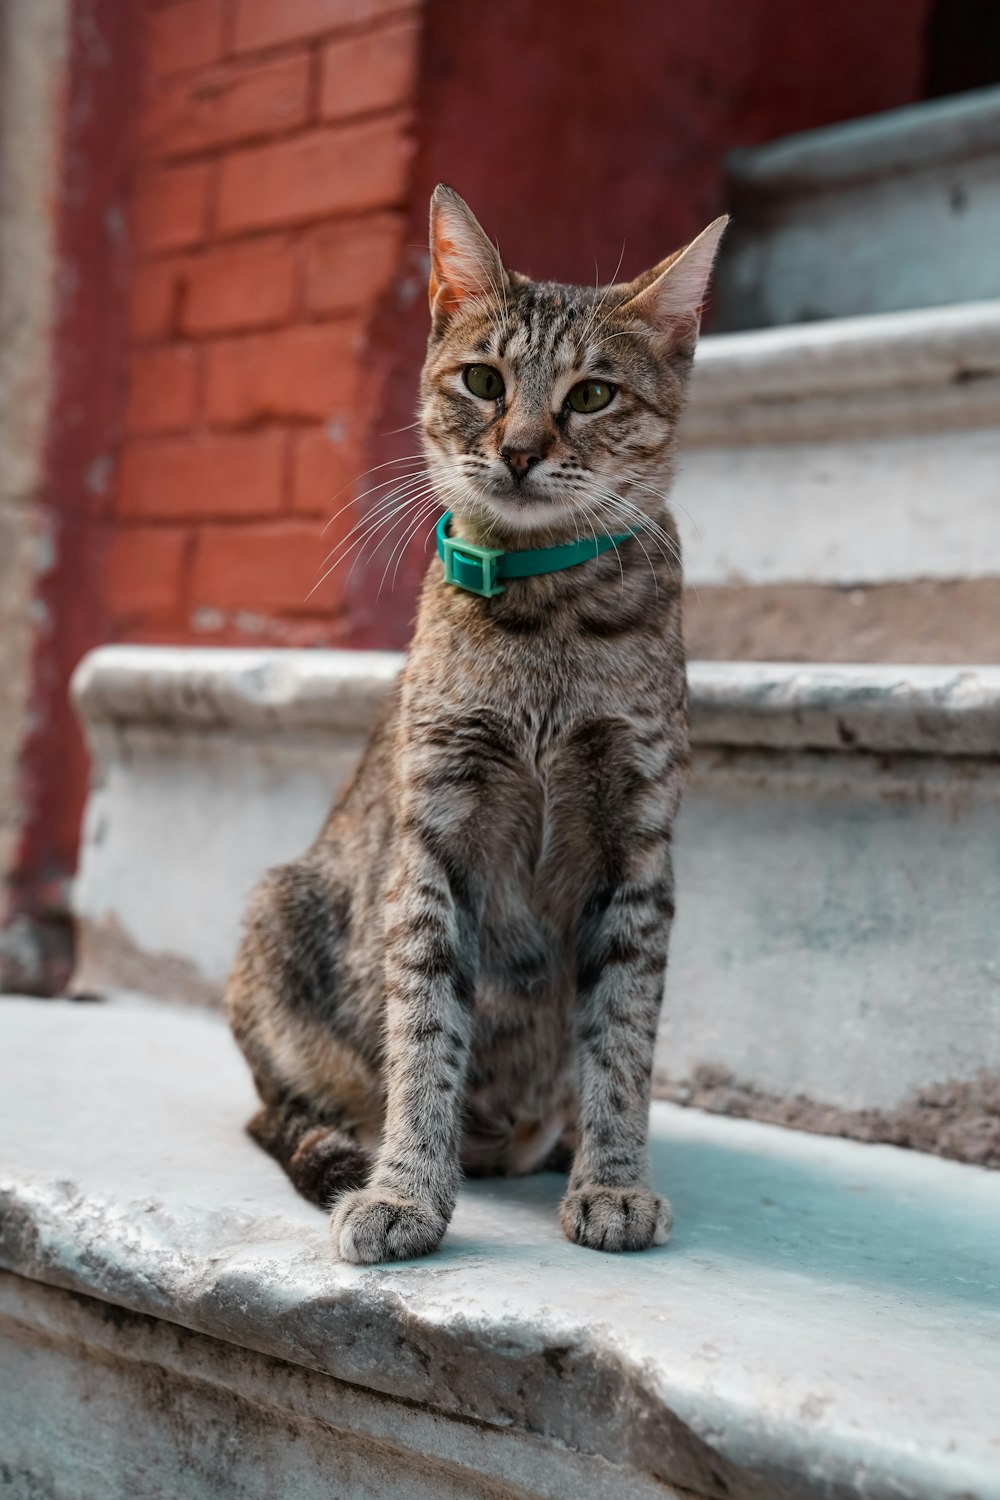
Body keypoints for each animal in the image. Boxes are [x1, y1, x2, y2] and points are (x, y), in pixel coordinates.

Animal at [226, 187, 728, 1266]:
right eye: (484, 380)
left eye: (592, 395)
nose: (523, 448)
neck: (546, 616)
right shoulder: (436, 839)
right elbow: (426, 1032)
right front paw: (407, 1190)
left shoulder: (637, 849)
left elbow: (622, 1038)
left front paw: (614, 1179)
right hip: (277, 913)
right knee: (278, 1109)